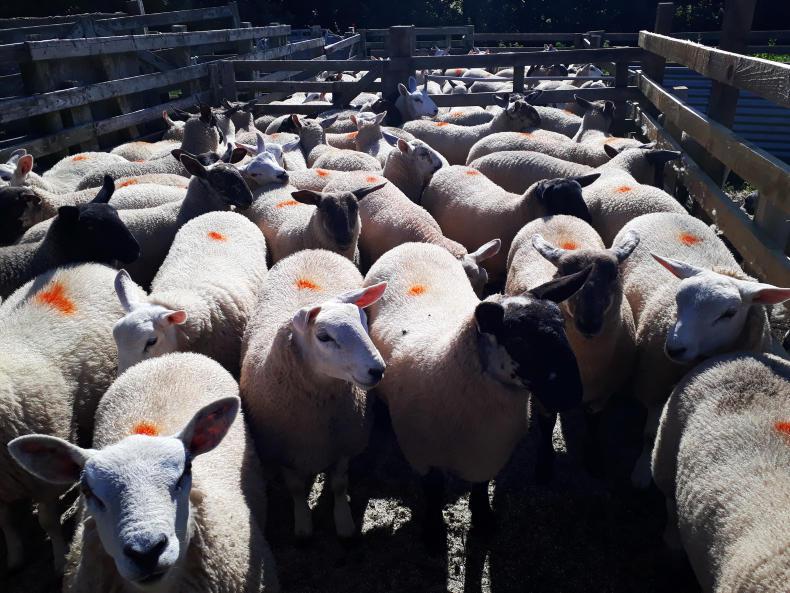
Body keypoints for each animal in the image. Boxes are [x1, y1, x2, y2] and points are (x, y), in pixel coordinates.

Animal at [0, 263, 146, 572]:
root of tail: (92, 265)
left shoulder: (40, 479)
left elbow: (48, 522)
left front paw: (58, 558)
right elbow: (5, 522)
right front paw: (15, 557)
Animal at [240, 249, 387, 539]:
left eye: (365, 322)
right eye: (324, 337)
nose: (378, 370)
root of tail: (311, 251)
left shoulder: (344, 443)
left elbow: (339, 485)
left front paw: (343, 523)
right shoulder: (284, 449)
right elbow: (296, 489)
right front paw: (303, 526)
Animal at [363, 242, 588, 548]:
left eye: (563, 326)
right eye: (519, 341)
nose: (572, 395)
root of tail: (412, 244)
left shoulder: (489, 455)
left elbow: (480, 488)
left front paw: (483, 519)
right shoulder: (421, 454)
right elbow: (433, 492)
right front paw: (434, 534)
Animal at [506, 215, 640, 478]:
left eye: (614, 275)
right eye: (565, 275)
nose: (589, 322)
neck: (587, 364)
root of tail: (557, 215)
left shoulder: (602, 395)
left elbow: (594, 425)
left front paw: (595, 460)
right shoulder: (545, 397)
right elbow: (546, 426)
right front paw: (544, 465)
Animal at [612, 212, 790, 488]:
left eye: (729, 313)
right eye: (677, 299)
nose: (674, 348)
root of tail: (662, 213)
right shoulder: (653, 380)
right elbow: (651, 434)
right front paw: (642, 472)